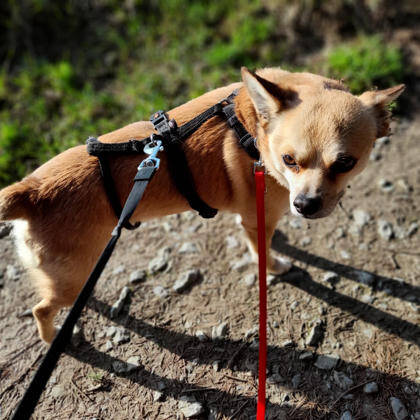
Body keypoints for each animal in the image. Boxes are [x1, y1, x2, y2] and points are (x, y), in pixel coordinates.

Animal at [0, 67, 404, 343]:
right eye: (289, 160)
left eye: (346, 163)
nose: (304, 205)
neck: (255, 130)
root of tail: (29, 191)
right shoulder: (258, 220)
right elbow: (263, 252)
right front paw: (275, 266)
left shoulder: (254, 217)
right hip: (69, 278)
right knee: (40, 308)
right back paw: (53, 337)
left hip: (74, 273)